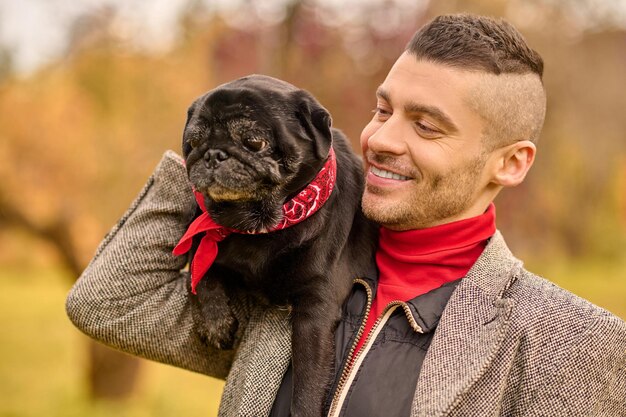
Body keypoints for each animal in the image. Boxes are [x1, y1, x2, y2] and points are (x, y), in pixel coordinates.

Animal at [178, 75, 376, 416]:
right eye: (193, 142)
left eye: (253, 142)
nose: (213, 154)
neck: (259, 226)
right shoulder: (201, 227)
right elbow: (201, 271)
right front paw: (215, 322)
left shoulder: (315, 310)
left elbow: (307, 382)